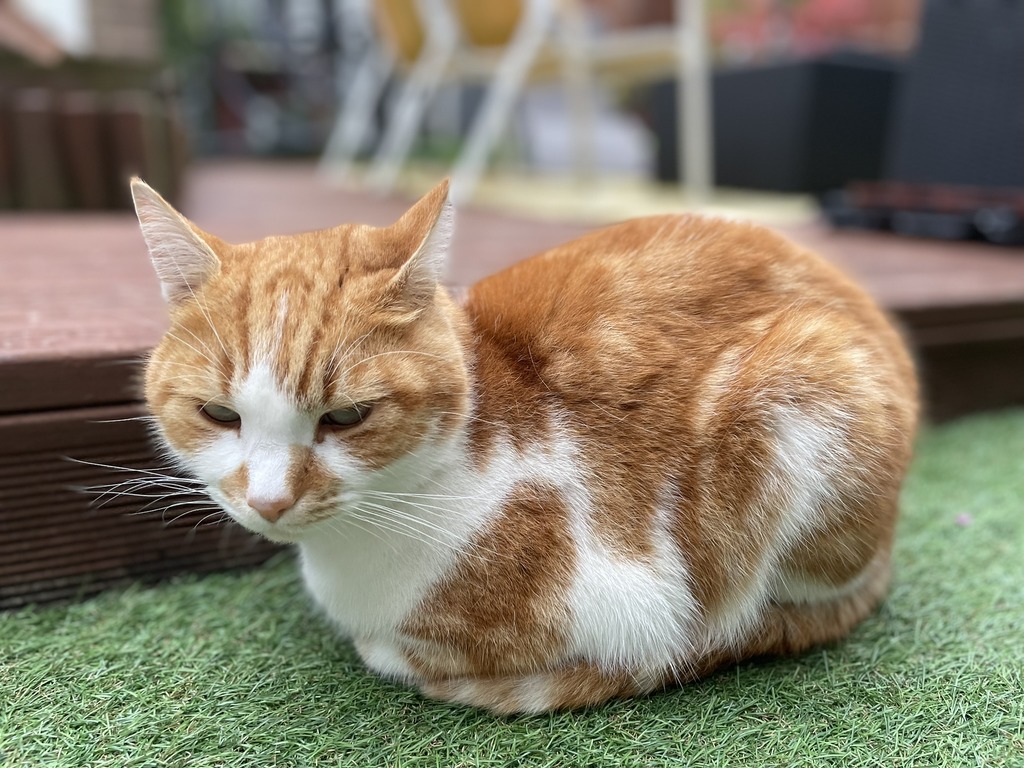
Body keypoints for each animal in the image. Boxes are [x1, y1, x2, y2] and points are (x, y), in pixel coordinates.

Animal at [130, 177, 921, 712]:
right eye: (218, 414)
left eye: (347, 416)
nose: (269, 501)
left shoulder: (632, 600)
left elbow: (395, 654)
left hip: (808, 389)